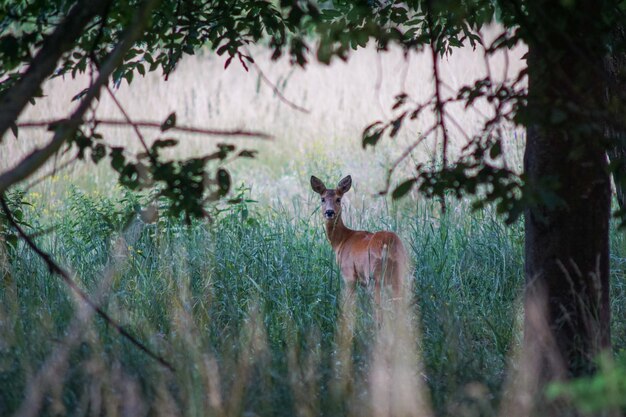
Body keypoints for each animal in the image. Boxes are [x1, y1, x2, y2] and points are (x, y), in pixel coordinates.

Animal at [308, 172, 408, 312]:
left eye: (338, 199)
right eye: (322, 199)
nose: (329, 212)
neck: (342, 240)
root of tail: (388, 245)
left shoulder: (349, 273)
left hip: (374, 275)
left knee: (379, 308)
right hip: (400, 273)